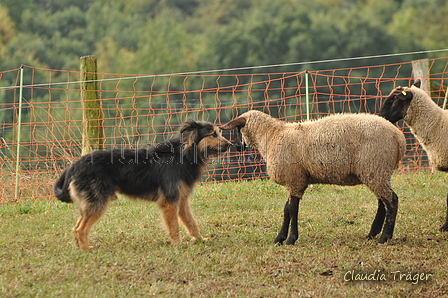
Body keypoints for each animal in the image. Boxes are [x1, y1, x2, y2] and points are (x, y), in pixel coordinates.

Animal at [53, 120, 231, 248]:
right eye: (213, 134)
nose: (231, 145)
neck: (184, 154)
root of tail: (74, 166)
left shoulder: (181, 201)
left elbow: (191, 222)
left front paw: (200, 239)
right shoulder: (169, 201)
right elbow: (174, 226)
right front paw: (178, 244)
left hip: (90, 202)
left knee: (76, 227)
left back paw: (80, 247)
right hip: (97, 201)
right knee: (80, 229)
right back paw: (85, 249)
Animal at [220, 110, 406, 243]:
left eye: (237, 129)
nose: (236, 147)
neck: (272, 135)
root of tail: (399, 138)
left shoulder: (295, 180)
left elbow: (292, 210)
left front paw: (290, 239)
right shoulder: (295, 180)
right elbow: (286, 209)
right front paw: (280, 238)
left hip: (375, 167)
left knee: (391, 201)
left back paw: (384, 237)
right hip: (376, 172)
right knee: (382, 202)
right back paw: (372, 234)